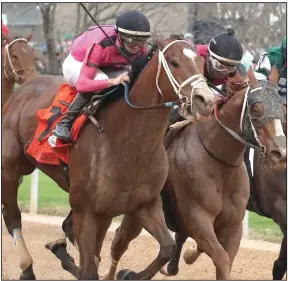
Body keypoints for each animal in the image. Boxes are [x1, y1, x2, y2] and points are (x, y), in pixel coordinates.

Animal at [1, 36, 215, 278]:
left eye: (201, 63)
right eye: (174, 62)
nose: (206, 101)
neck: (128, 143)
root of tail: (23, 89)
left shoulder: (144, 205)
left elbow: (167, 248)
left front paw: (130, 274)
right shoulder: (85, 210)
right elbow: (88, 270)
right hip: (11, 168)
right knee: (13, 216)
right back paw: (28, 268)